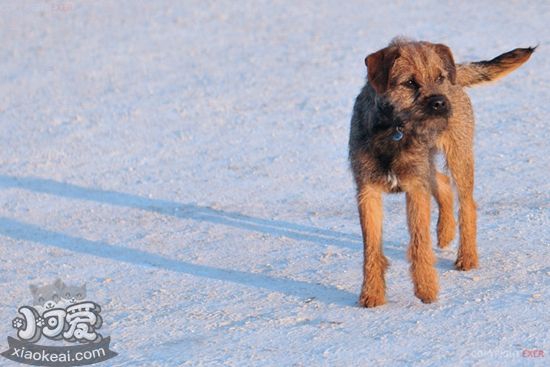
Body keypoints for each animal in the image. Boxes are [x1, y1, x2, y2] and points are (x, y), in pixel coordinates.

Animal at [352, 38, 536, 308]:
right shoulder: (368, 192)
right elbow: (371, 248)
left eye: (438, 78)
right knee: (442, 182)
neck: (393, 130)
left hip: (459, 157)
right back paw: (445, 231)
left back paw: (467, 257)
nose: (440, 103)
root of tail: (456, 72)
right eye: (409, 82)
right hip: (428, 165)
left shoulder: (415, 189)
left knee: (467, 204)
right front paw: (372, 293)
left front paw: (426, 289)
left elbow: (419, 242)